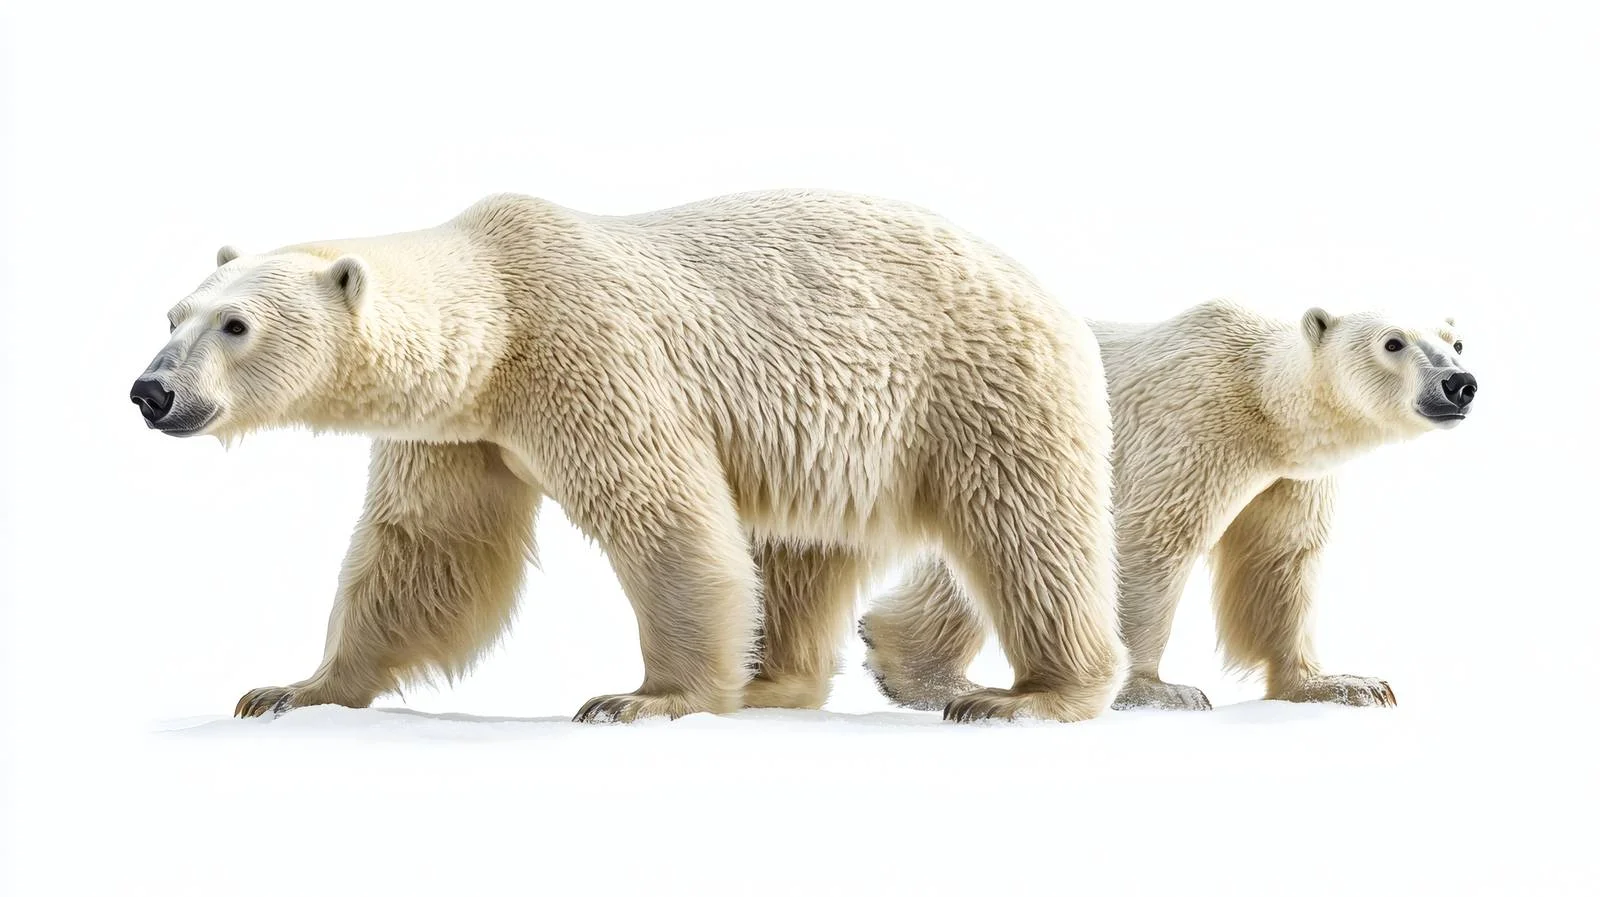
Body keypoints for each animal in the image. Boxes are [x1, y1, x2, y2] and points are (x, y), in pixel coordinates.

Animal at [129, 189, 1128, 724]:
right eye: (173, 312)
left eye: (236, 324)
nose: (152, 391)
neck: (503, 309)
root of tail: (1042, 285)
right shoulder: (462, 431)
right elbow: (426, 548)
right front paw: (291, 687)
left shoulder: (591, 356)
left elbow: (663, 517)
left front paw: (642, 697)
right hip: (835, 443)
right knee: (800, 552)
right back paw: (771, 680)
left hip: (970, 388)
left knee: (1028, 531)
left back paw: (1027, 694)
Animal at [860, 298, 1477, 711]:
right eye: (1393, 342)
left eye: (1456, 340)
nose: (1459, 383)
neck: (1263, 405)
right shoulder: (1190, 429)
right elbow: (1152, 544)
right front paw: (1158, 689)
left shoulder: (1288, 477)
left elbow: (1279, 562)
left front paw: (1344, 684)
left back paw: (919, 674)